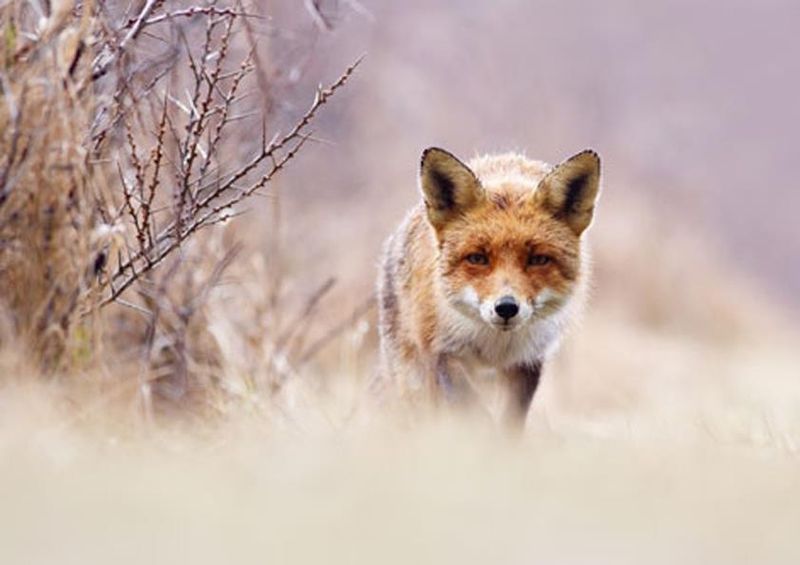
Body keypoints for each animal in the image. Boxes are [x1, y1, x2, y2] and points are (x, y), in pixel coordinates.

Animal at [377, 147, 601, 428]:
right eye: (477, 258)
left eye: (538, 259)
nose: (506, 308)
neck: (494, 344)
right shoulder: (443, 351)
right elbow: (475, 414)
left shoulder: (526, 361)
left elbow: (509, 421)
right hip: (414, 378)